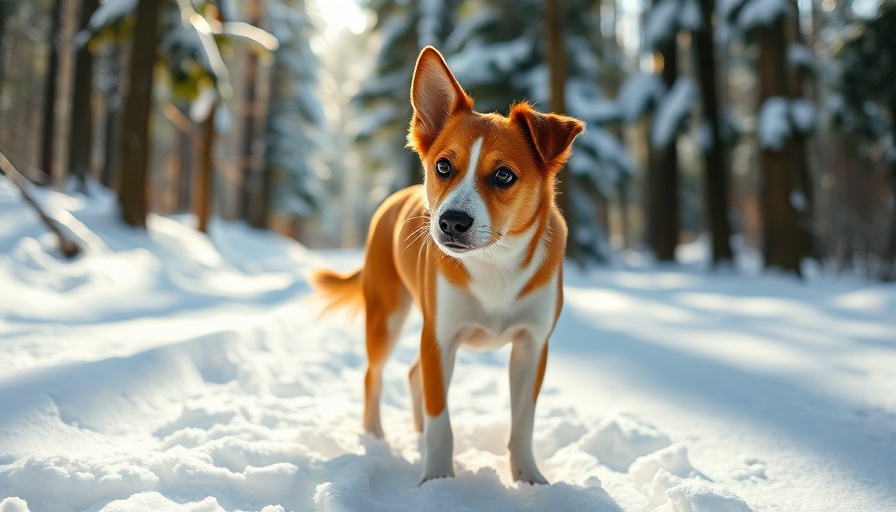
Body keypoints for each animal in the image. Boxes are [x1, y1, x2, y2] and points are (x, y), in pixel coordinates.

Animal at [312, 45, 584, 484]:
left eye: (503, 175)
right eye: (443, 166)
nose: (452, 221)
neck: (494, 264)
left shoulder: (532, 345)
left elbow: (523, 421)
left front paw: (529, 479)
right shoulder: (439, 338)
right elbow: (442, 422)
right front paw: (437, 481)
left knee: (410, 375)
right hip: (387, 315)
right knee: (374, 375)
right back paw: (375, 437)